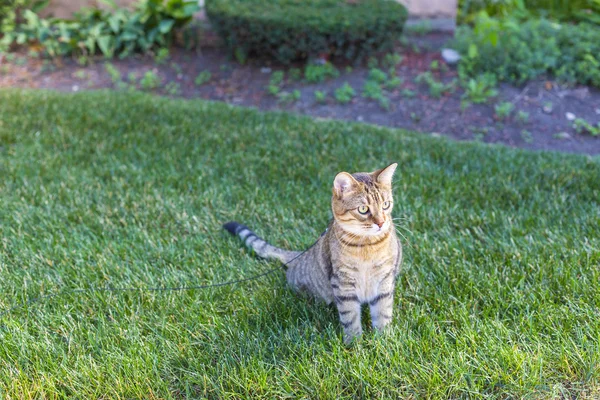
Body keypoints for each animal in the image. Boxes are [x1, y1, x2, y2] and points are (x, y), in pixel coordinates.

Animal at [223, 162, 400, 344]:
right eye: (363, 209)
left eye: (386, 205)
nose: (381, 223)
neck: (367, 245)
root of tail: (299, 255)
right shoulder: (343, 284)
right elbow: (350, 317)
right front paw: (354, 344)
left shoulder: (385, 280)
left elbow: (383, 313)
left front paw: (384, 340)